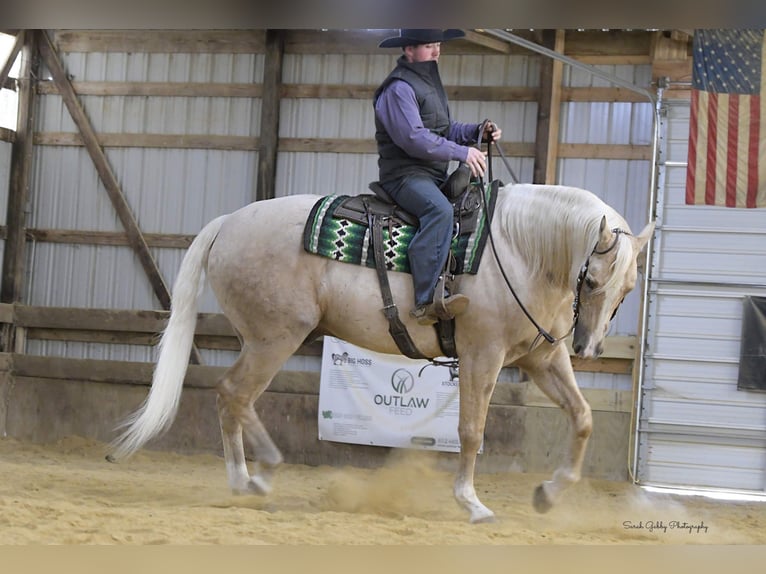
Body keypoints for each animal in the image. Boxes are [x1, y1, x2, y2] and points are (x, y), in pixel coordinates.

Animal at [111, 182, 656, 524]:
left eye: (630, 287)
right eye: (592, 280)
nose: (589, 347)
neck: (519, 250)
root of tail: (229, 223)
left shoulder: (541, 360)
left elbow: (583, 418)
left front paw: (548, 494)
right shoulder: (483, 355)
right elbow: (471, 431)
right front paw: (472, 503)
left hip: (264, 339)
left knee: (234, 398)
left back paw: (247, 479)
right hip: (275, 338)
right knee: (234, 394)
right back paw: (254, 476)